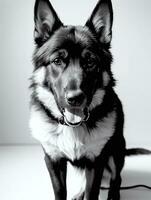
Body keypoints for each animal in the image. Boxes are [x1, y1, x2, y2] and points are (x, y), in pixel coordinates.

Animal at [29, 0, 150, 200]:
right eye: (57, 60)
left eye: (90, 62)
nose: (75, 98)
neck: (72, 127)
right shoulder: (53, 160)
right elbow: (60, 191)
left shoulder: (96, 161)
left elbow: (92, 191)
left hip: (116, 150)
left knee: (116, 178)